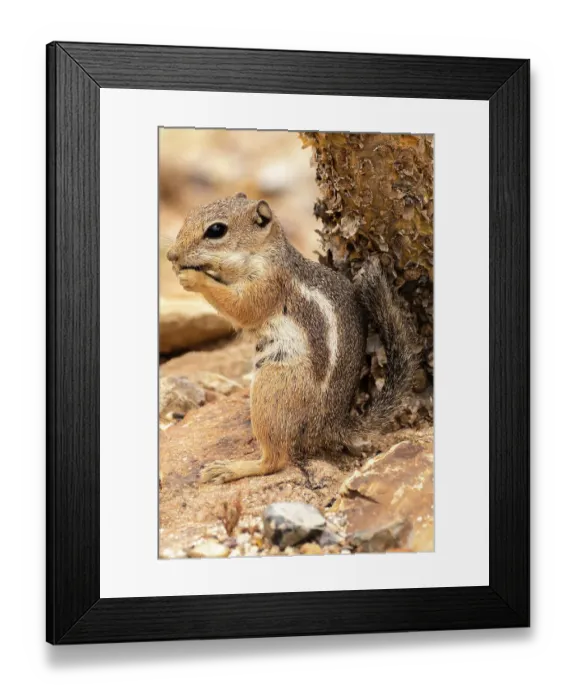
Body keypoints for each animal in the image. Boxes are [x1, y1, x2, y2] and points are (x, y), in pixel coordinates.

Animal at [167, 193, 417, 485]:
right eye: (190, 216)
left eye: (216, 230)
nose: (171, 255)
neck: (263, 254)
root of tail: (330, 426)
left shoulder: (269, 285)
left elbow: (241, 308)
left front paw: (192, 277)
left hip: (273, 385)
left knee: (275, 460)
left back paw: (231, 468)